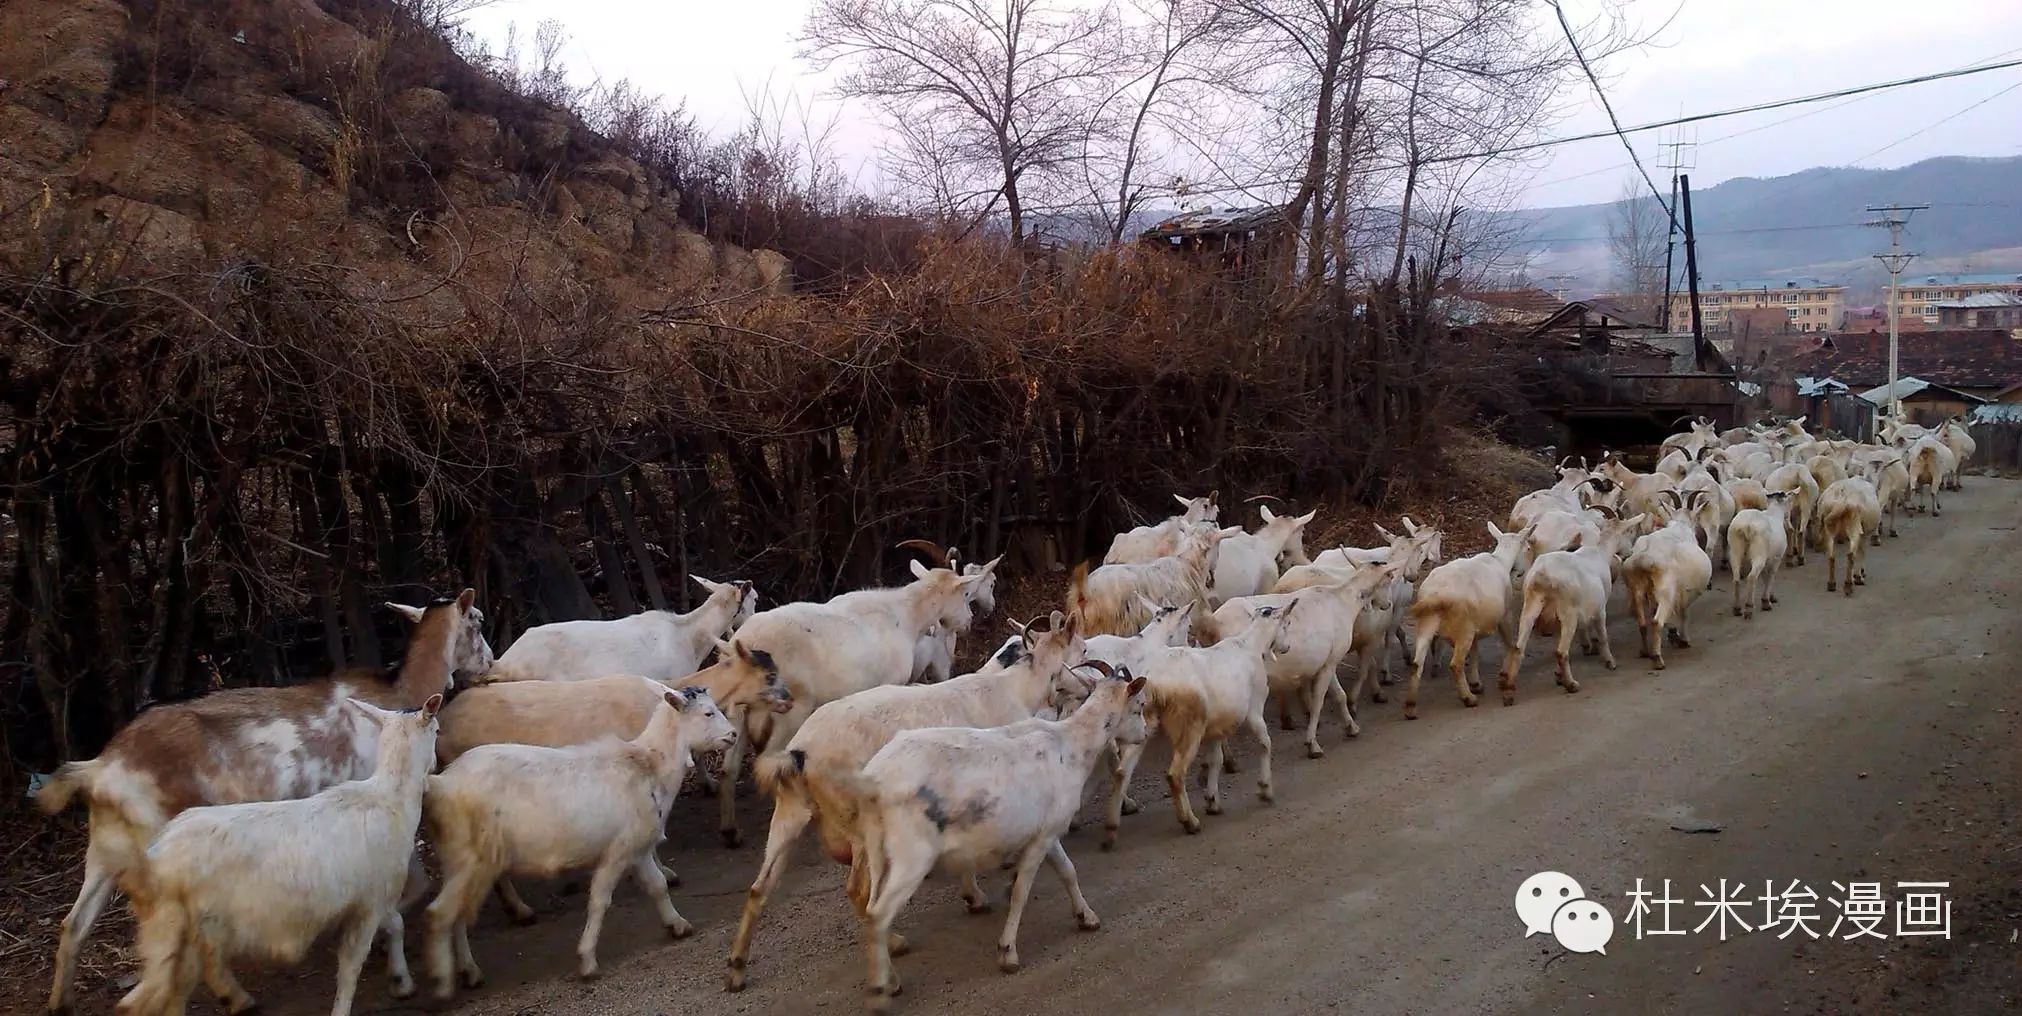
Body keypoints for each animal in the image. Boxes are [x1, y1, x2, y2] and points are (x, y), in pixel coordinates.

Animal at [116, 696, 444, 1016]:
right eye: (437, 730)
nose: (436, 766)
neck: (390, 797)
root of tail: (154, 854)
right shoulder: (371, 901)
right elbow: (353, 966)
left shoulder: (369, 901)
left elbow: (394, 925)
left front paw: (401, 982)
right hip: (173, 928)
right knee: (142, 1001)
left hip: (188, 931)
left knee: (180, 985)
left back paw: (236, 999)